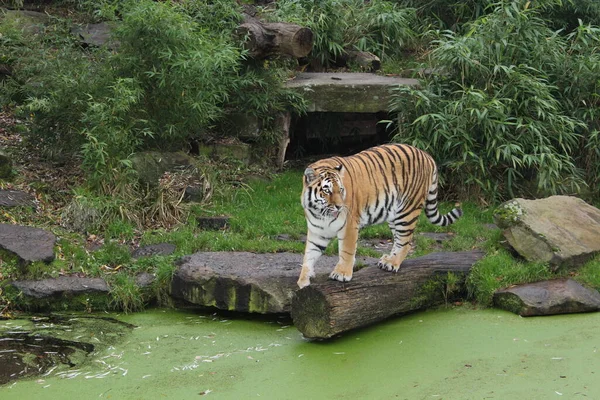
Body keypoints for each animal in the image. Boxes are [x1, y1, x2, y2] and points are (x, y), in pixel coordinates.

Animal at [298, 143, 462, 288]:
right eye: (327, 190)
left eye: (341, 190)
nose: (339, 206)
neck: (320, 212)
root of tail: (427, 155)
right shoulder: (317, 231)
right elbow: (309, 254)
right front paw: (303, 280)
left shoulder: (349, 227)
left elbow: (346, 251)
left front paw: (342, 274)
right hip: (393, 214)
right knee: (398, 239)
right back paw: (388, 259)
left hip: (407, 210)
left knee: (405, 241)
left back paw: (392, 263)